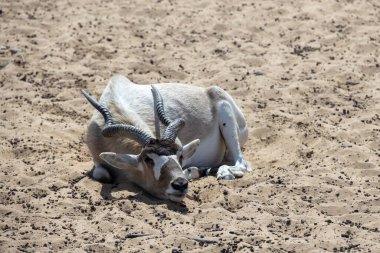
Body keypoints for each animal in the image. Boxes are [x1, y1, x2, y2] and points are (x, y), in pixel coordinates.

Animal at [81, 74, 251, 202]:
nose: (180, 185)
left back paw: (223, 172)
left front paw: (192, 171)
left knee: (242, 164)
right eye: (147, 159)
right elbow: (102, 175)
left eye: (180, 156)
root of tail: (209, 90)